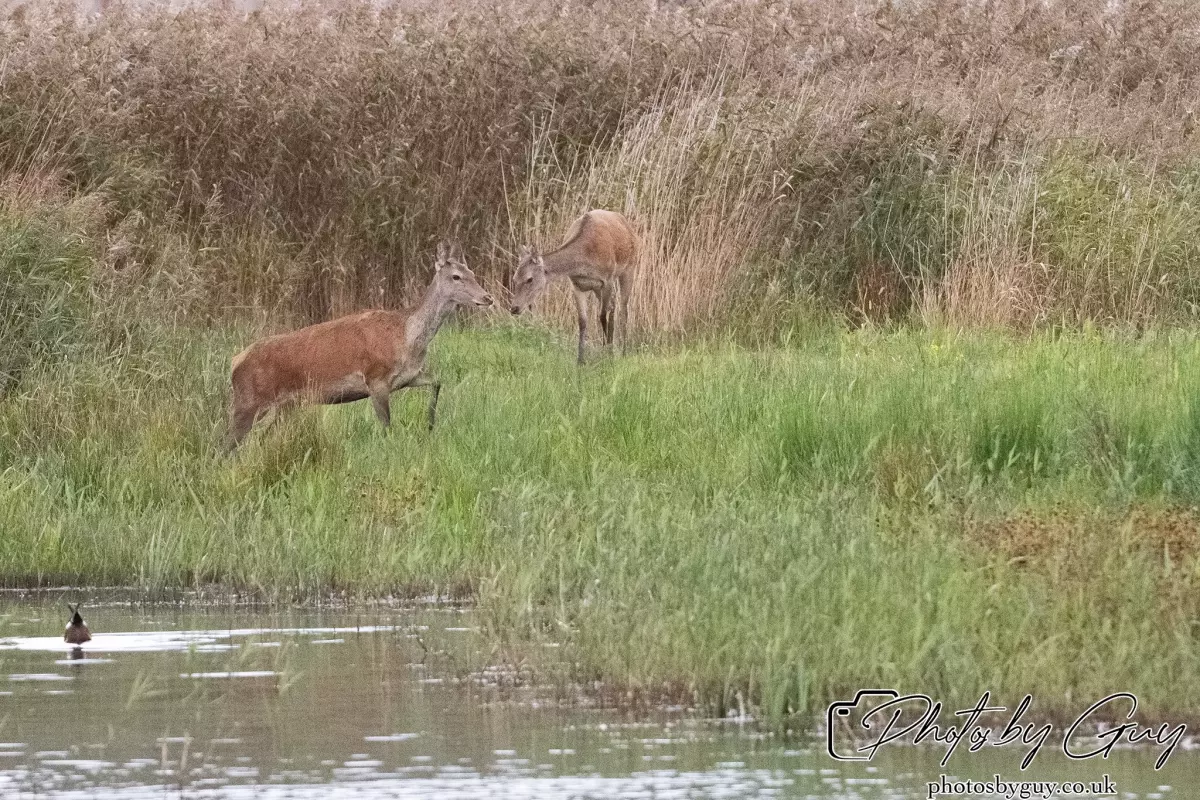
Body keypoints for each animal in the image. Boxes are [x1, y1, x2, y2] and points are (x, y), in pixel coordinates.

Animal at [227, 241, 493, 451]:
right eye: (456, 276)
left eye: (471, 271)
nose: (488, 297)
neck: (406, 338)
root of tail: (235, 362)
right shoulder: (376, 378)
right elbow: (386, 425)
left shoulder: (409, 376)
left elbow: (438, 382)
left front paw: (429, 424)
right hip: (249, 401)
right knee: (226, 443)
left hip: (285, 406)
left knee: (259, 439)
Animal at [509, 209, 637, 364]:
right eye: (515, 278)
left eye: (529, 279)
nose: (514, 308)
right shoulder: (577, 285)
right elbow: (582, 321)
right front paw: (580, 360)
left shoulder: (607, 279)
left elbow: (601, 315)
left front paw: (608, 354)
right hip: (597, 288)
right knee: (613, 305)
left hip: (629, 267)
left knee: (623, 309)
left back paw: (622, 352)